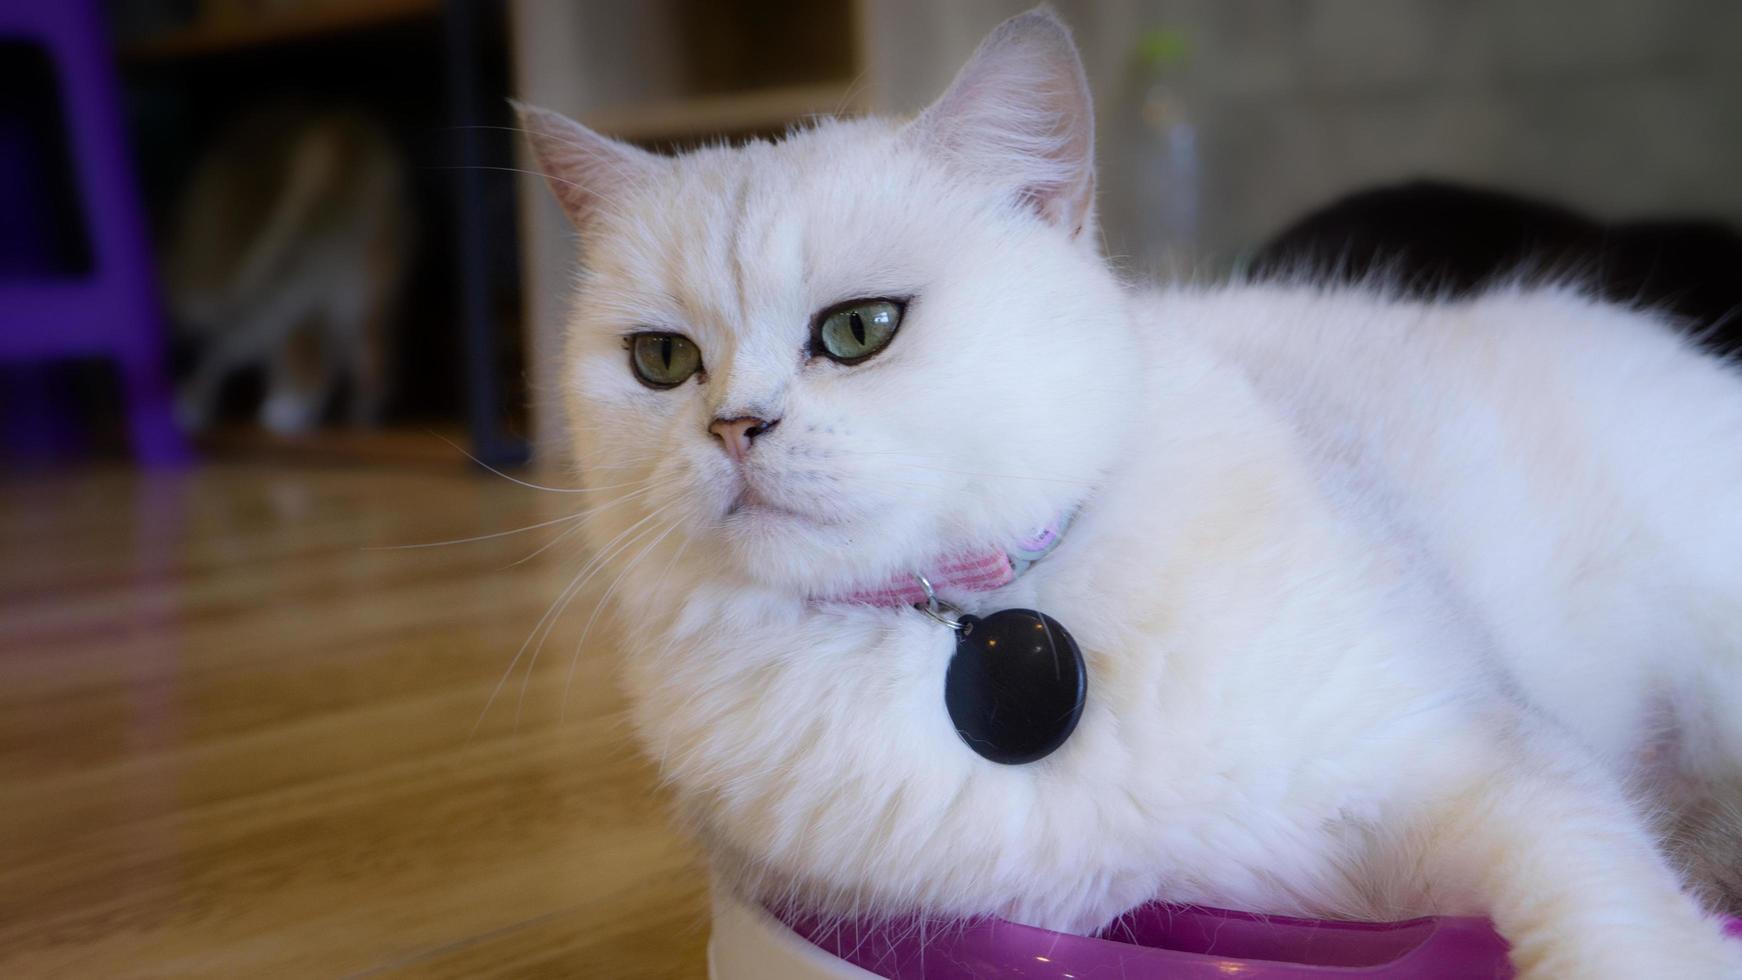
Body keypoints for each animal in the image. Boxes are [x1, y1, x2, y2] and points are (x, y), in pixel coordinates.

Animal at [519, 9, 1742, 980]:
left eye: (860, 330)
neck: (966, 624)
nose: (732, 428)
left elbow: (1604, 914)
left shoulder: (1472, 757)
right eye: (662, 362)